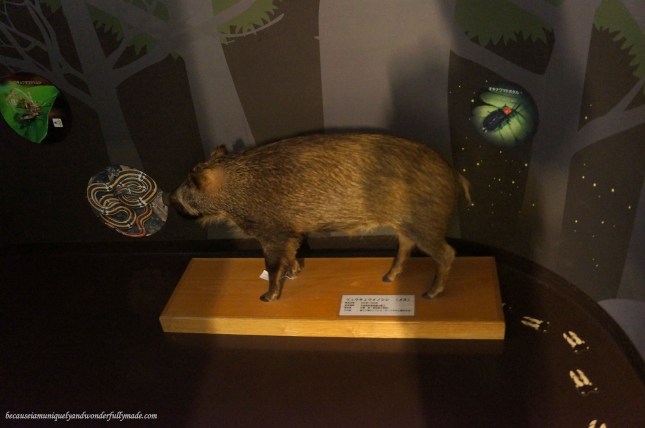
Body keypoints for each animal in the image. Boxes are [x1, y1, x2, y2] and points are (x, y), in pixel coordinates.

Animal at [169, 133, 472, 302]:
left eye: (190, 183)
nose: (171, 199)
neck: (236, 189)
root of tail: (455, 175)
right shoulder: (291, 233)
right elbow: (292, 255)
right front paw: (295, 274)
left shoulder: (272, 232)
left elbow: (272, 265)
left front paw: (266, 298)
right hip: (406, 225)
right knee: (406, 247)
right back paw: (387, 278)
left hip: (425, 224)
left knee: (447, 253)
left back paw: (429, 294)